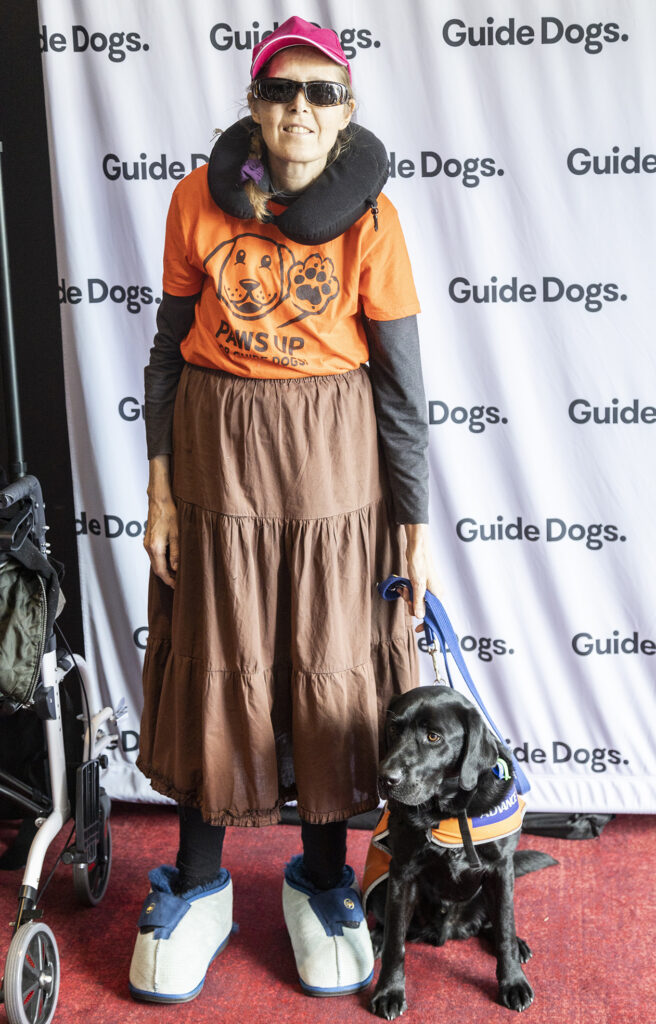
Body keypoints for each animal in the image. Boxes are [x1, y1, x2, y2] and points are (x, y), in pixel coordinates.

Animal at [366, 688, 556, 1015]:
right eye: (393, 729)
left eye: (433, 737)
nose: (385, 778)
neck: (450, 808)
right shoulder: (402, 872)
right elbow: (395, 941)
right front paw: (389, 990)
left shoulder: (501, 868)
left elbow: (505, 928)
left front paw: (513, 982)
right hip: (382, 885)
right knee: (387, 924)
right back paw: (375, 938)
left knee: (496, 924)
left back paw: (516, 944)